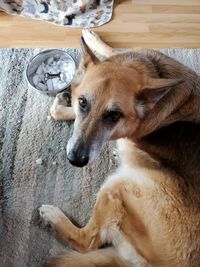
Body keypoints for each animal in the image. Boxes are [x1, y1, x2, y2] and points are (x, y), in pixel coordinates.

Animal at [39, 30, 200, 266]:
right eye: (83, 103)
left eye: (114, 115)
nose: (76, 160)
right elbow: (111, 51)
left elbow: (60, 111)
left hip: (119, 185)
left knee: (87, 241)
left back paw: (54, 216)